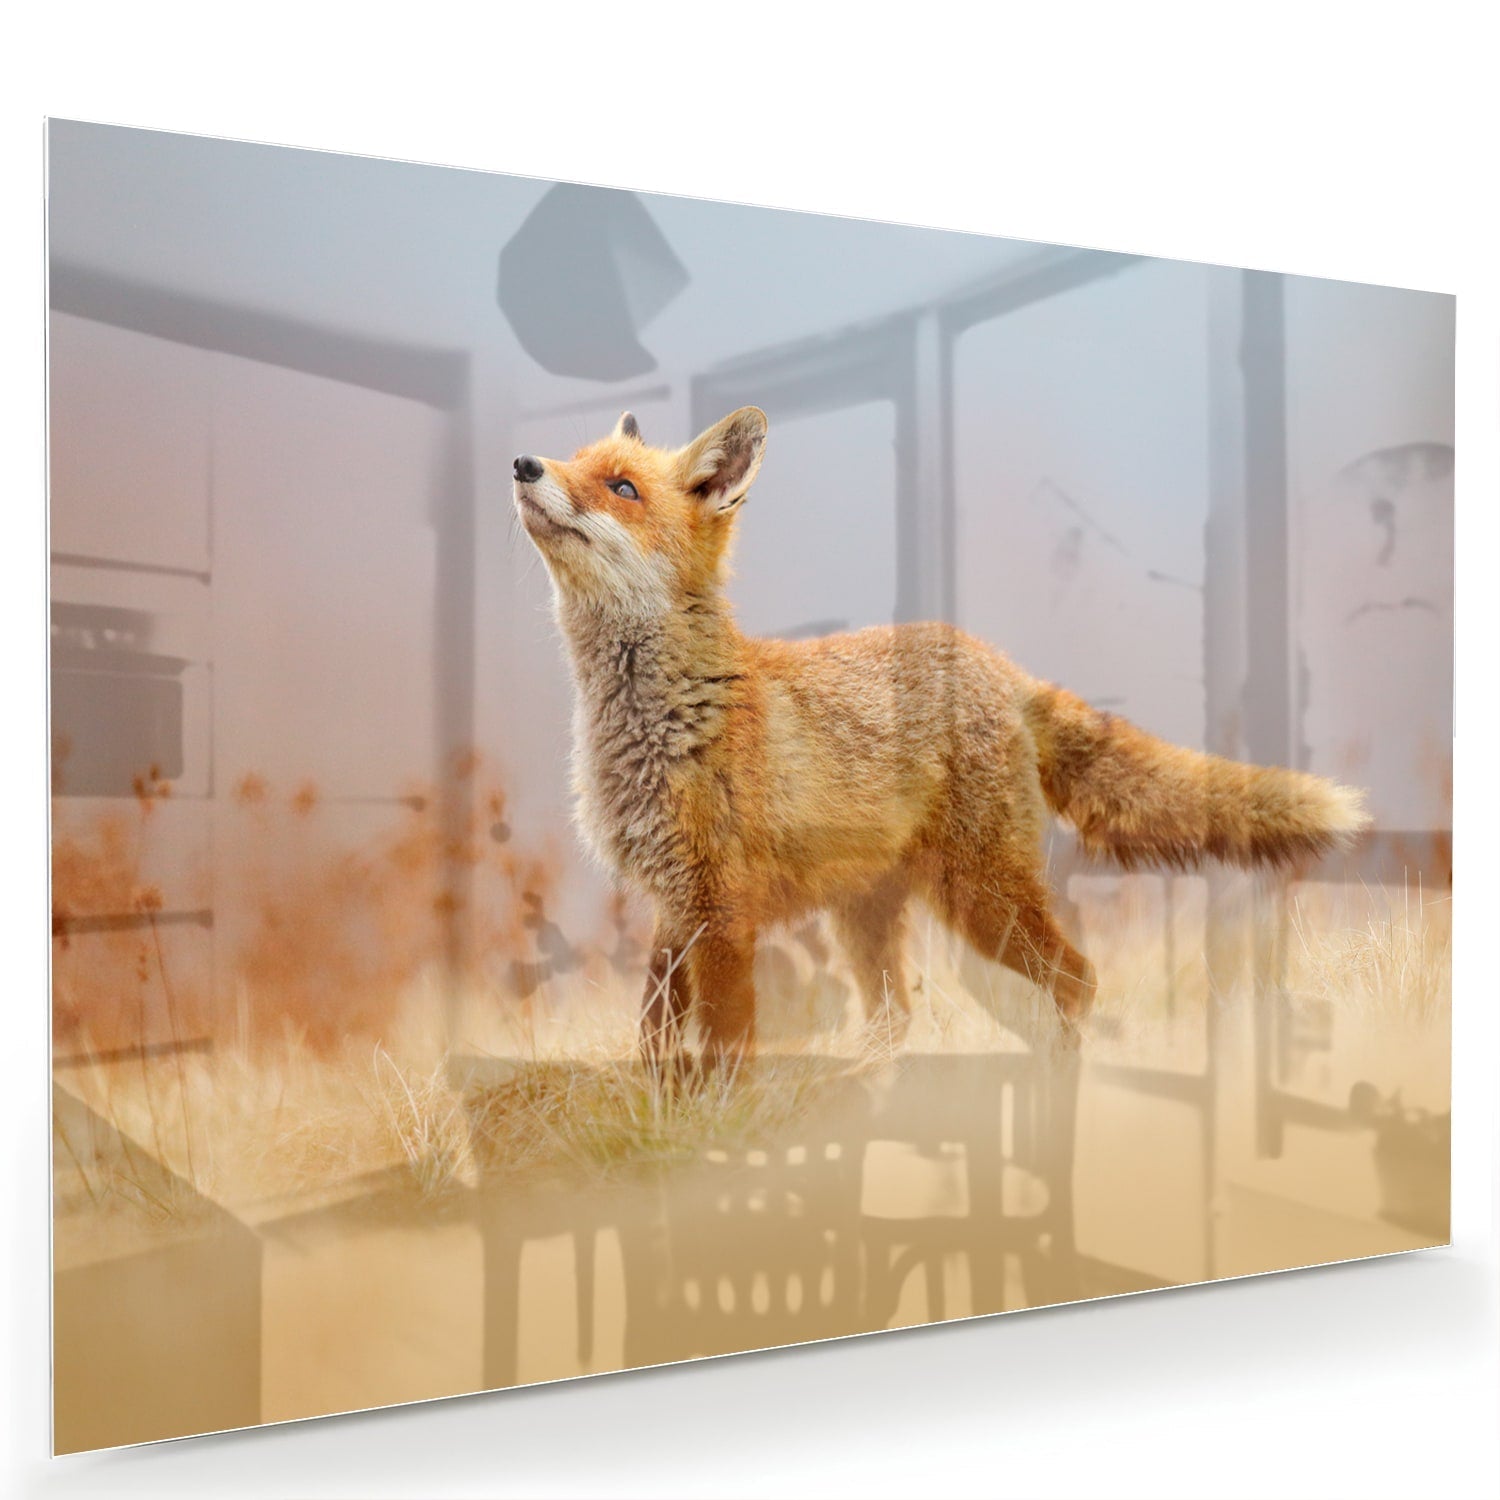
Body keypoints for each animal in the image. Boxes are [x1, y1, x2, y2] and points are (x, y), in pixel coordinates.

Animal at [513, 406, 1371, 1072]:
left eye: (622, 487)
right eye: (578, 462)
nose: (523, 463)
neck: (660, 724)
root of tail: (994, 659)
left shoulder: (720, 908)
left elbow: (725, 1042)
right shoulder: (672, 905)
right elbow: (653, 1036)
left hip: (981, 896)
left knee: (1076, 981)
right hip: (869, 915)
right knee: (897, 1014)